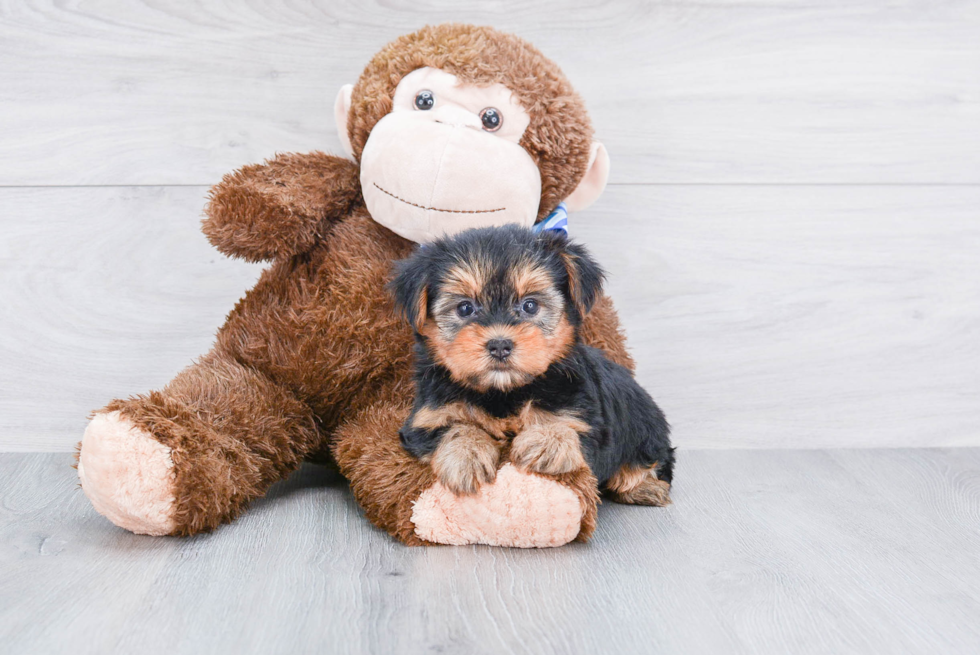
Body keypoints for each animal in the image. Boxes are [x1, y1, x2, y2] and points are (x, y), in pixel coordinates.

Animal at [388, 226, 672, 508]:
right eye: (465, 308)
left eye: (530, 305)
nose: (499, 345)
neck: (503, 391)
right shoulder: (425, 418)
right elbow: (454, 427)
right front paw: (466, 454)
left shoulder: (585, 416)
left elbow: (570, 426)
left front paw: (547, 440)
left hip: (646, 425)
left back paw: (645, 487)